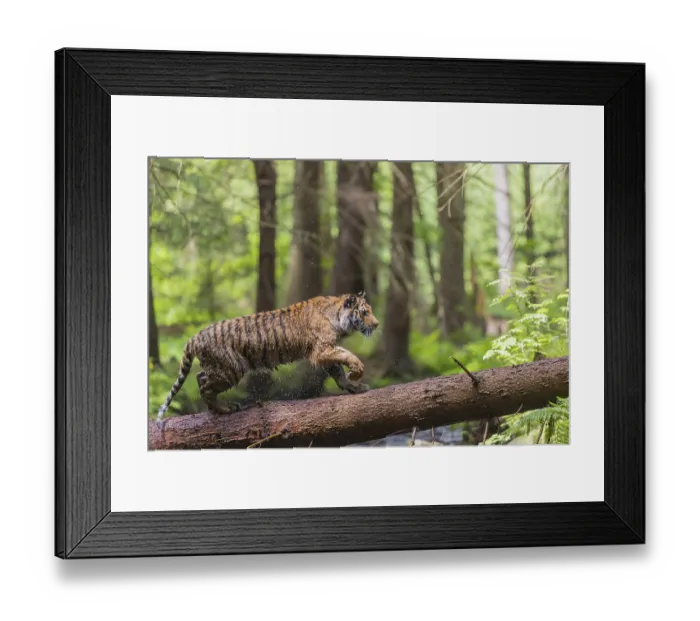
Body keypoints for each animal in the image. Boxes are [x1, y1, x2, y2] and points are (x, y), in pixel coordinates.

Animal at [156, 292, 379, 422]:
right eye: (365, 312)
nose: (377, 324)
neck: (337, 317)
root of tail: (194, 337)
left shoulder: (326, 352)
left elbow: (338, 371)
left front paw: (355, 387)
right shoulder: (322, 350)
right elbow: (347, 355)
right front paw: (357, 372)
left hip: (219, 368)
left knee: (200, 377)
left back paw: (216, 408)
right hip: (231, 370)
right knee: (205, 387)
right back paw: (225, 409)